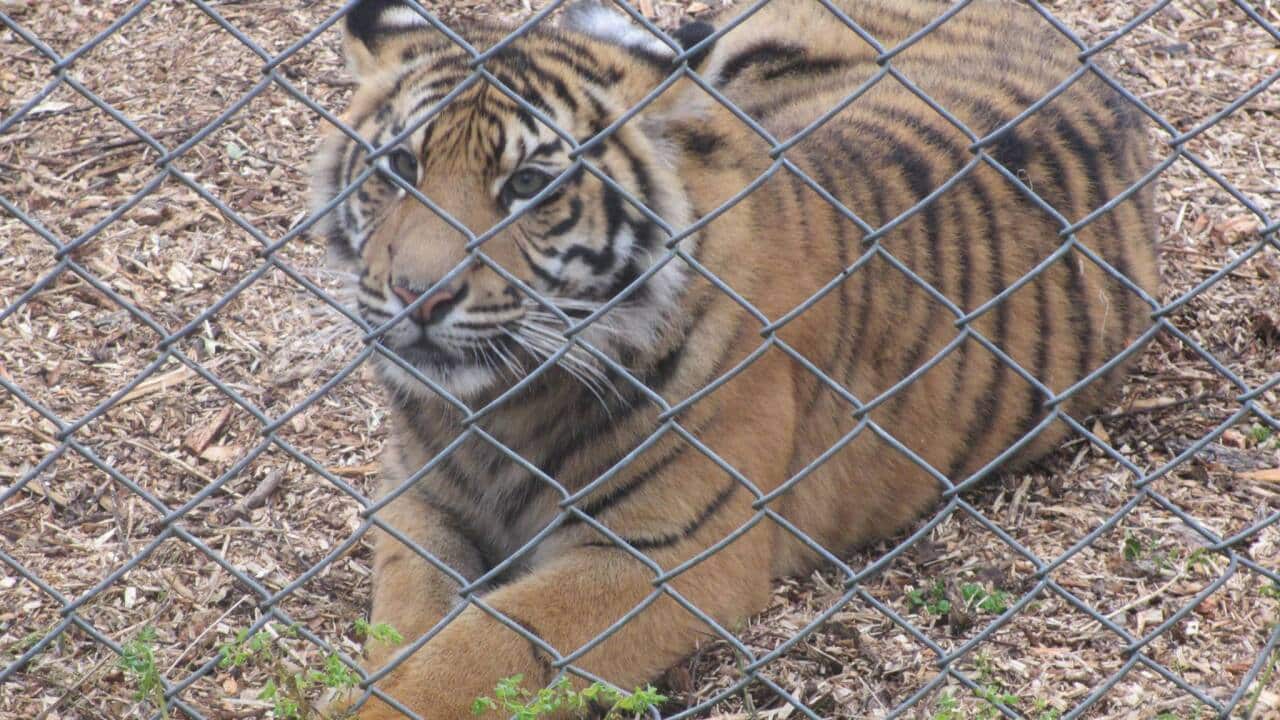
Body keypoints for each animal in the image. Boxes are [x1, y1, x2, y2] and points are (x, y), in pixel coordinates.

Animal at [310, 0, 1158, 716]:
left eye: (527, 184)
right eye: (400, 168)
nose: (419, 295)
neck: (498, 406)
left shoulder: (663, 556)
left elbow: (482, 647)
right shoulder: (421, 504)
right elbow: (408, 622)